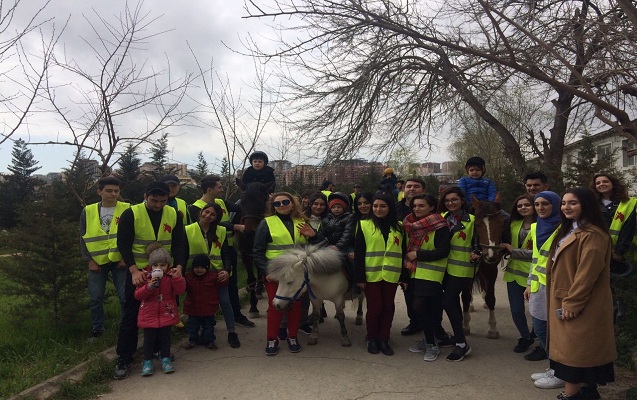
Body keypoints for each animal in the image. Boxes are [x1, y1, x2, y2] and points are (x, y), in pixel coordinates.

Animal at [462, 195, 506, 340]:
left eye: (501, 223)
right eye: (477, 224)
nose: (491, 255)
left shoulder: (491, 270)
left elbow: (491, 298)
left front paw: (493, 328)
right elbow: (465, 296)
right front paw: (465, 325)